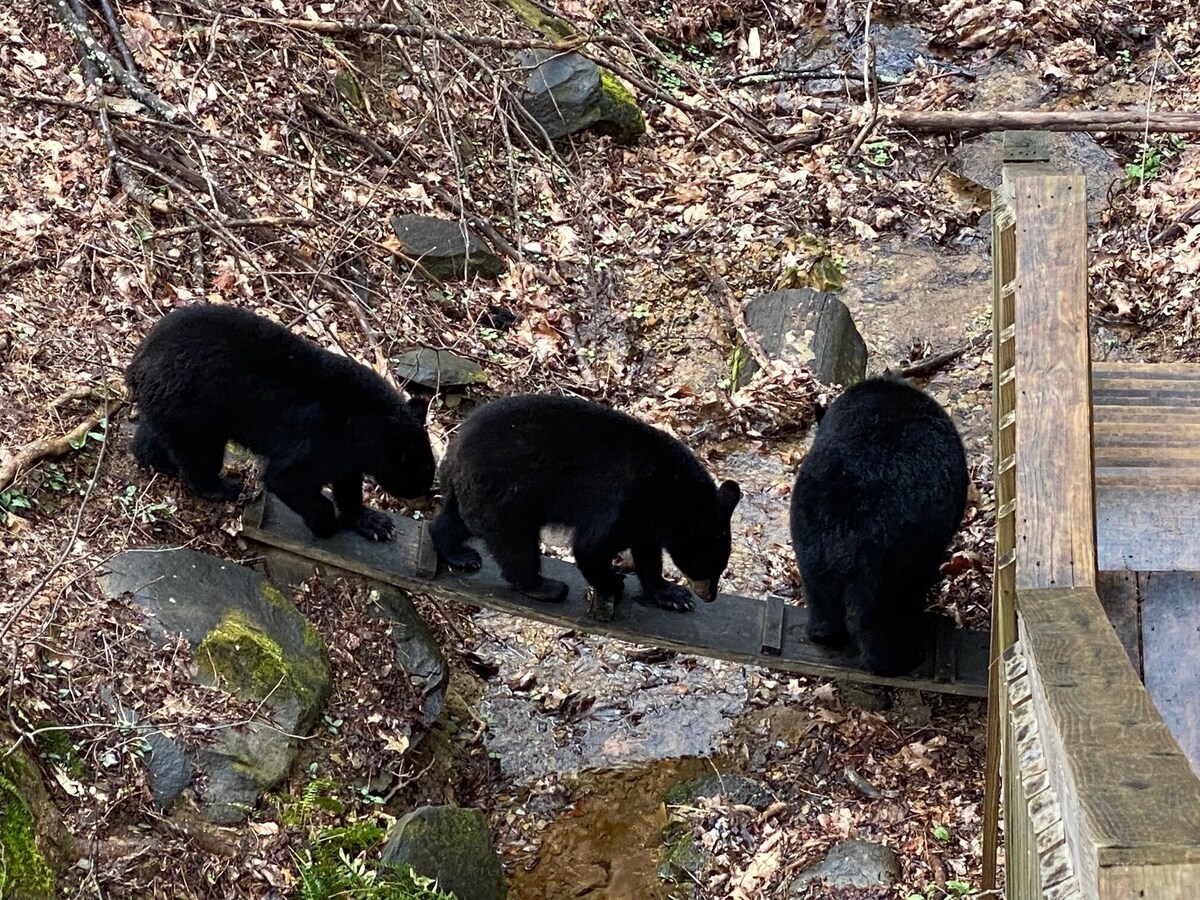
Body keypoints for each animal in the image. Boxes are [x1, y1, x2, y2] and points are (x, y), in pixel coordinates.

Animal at [125, 304, 435, 541]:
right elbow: (287, 479)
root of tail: (139, 359)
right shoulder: (323, 441)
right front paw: (327, 525)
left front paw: (374, 523)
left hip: (171, 404)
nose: (426, 501)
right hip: (198, 407)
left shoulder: (347, 453)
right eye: (423, 479)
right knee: (201, 454)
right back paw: (222, 486)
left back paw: (156, 459)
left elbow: (347, 481)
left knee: (158, 433)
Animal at [429, 394, 742, 619]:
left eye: (720, 565)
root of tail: (453, 449)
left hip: (479, 493)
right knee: (515, 544)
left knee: (457, 522)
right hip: (507, 494)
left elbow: (647, 552)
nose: (709, 596)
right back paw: (544, 586)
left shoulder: (643, 516)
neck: (670, 491)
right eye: (709, 566)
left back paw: (458, 554)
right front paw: (613, 582)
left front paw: (671, 594)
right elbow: (591, 546)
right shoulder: (621, 498)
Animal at [789, 375, 968, 676]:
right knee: (881, 613)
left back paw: (824, 633)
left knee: (819, 590)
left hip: (807, 528)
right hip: (889, 557)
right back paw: (899, 660)